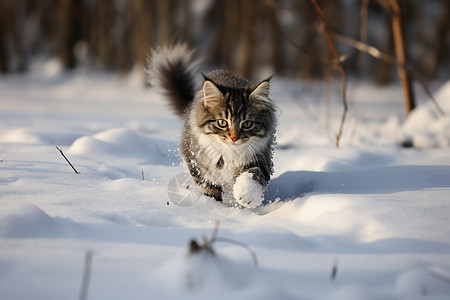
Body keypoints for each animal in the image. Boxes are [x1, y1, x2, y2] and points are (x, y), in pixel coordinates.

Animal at [146, 44, 276, 209]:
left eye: (247, 123)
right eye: (222, 122)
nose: (234, 138)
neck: (230, 153)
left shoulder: (261, 157)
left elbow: (254, 174)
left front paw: (246, 194)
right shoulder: (198, 163)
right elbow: (209, 186)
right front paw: (214, 206)